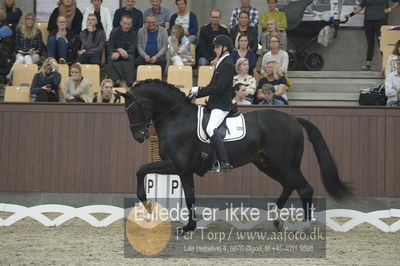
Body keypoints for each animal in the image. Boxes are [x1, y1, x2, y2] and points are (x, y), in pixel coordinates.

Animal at [115, 79, 350, 235]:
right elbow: (189, 196)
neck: (176, 118)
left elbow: (142, 169)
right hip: (267, 164)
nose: (139, 136)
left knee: (304, 188)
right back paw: (277, 220)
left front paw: (147, 204)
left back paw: (304, 226)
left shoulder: (177, 165)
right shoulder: (184, 170)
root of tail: (294, 119)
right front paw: (189, 226)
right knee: (289, 185)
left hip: (284, 163)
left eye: (132, 109)